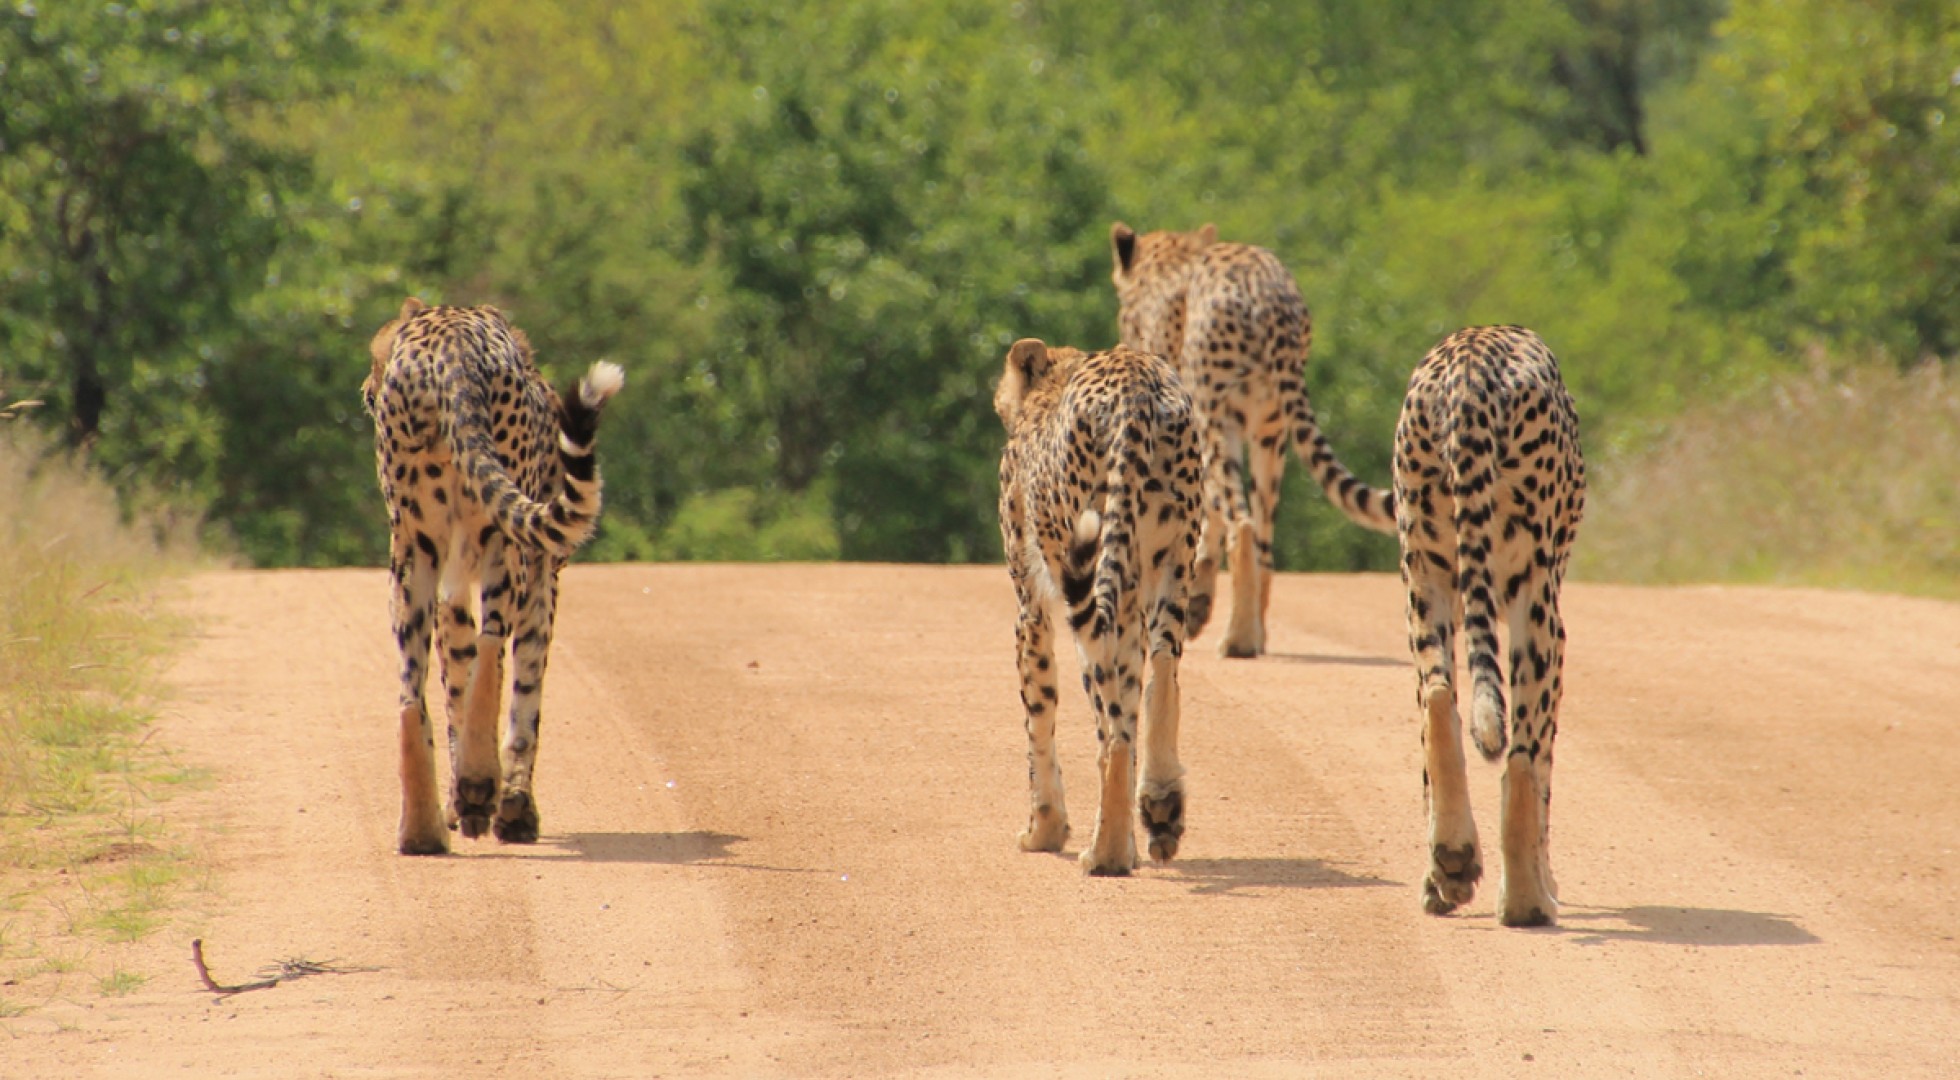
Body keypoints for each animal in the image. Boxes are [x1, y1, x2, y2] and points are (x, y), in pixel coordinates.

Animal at [363, 297, 623, 855]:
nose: (367, 389)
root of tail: (451, 345)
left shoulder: (454, 582)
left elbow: (457, 680)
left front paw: (469, 806)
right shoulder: (543, 576)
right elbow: (525, 691)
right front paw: (512, 807)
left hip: (413, 555)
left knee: (411, 692)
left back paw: (422, 829)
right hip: (505, 546)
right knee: (491, 649)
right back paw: (480, 784)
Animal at [994, 338, 1204, 875]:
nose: (1000, 400)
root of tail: (1135, 382)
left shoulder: (1031, 607)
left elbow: (1038, 714)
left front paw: (1044, 829)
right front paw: (1133, 835)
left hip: (1091, 578)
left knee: (1111, 727)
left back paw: (1105, 853)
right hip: (1169, 560)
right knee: (1160, 675)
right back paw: (1161, 805)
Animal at [1110, 222, 1396, 659]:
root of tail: (1268, 295)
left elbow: (1207, 514)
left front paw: (1197, 600)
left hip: (1216, 418)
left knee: (1242, 525)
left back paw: (1239, 639)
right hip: (1270, 431)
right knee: (1263, 535)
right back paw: (1255, 631)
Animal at [1391, 325, 1585, 927]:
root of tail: (1468, 366)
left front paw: (1436, 882)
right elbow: (1544, 762)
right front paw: (1546, 880)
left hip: (1424, 577)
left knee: (1437, 699)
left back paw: (1452, 857)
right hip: (1533, 599)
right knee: (1521, 752)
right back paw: (1526, 899)